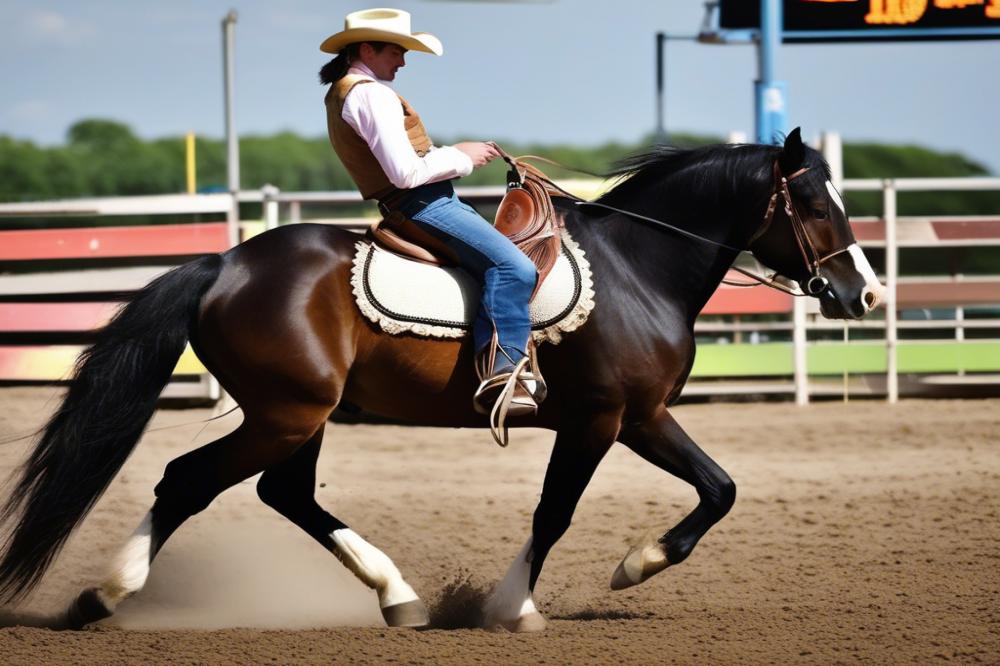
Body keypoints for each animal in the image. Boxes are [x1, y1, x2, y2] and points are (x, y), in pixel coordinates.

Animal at [0, 127, 884, 632]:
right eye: (813, 201)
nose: (865, 294)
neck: (638, 269)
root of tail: (224, 264)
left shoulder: (643, 415)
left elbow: (720, 488)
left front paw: (637, 563)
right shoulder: (600, 421)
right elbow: (556, 511)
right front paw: (514, 607)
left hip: (303, 417)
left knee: (284, 494)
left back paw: (398, 597)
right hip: (286, 414)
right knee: (188, 483)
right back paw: (102, 596)